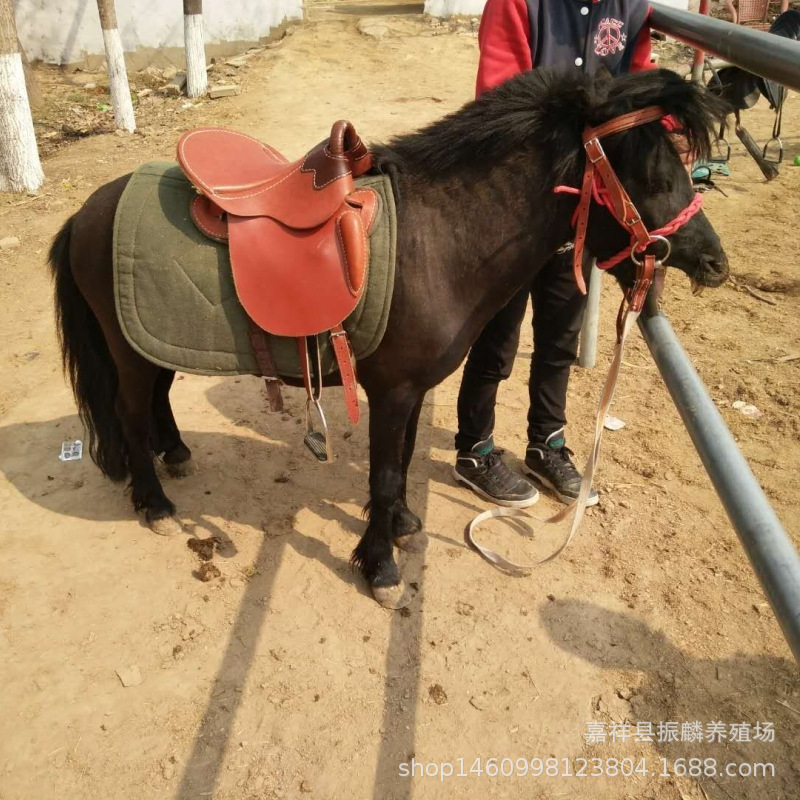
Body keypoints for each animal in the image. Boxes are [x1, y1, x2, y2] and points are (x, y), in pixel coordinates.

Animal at [49, 67, 729, 609]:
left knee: (156, 401)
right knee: (129, 413)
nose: (716, 263)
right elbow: (381, 472)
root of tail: (85, 212)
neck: (439, 240)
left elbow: (400, 464)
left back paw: (176, 454)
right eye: (652, 173)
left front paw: (401, 522)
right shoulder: (393, 390)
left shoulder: (412, 390)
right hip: (128, 353)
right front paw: (380, 566)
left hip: (152, 343)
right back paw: (154, 502)